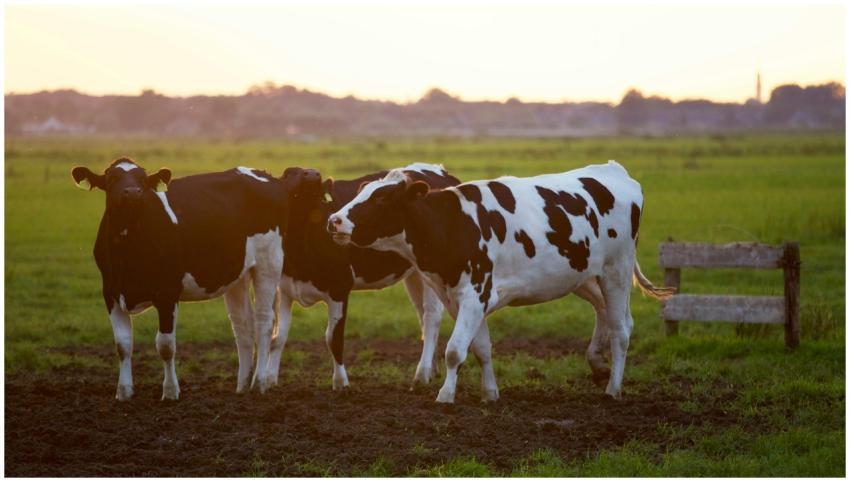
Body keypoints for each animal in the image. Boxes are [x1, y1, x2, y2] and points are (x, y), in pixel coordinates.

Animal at [71, 158, 288, 400]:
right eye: (112, 179)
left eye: (142, 180)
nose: (133, 193)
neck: (128, 252)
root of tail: (262, 174)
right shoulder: (110, 293)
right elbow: (122, 345)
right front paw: (124, 392)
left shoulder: (167, 293)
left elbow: (165, 345)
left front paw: (170, 392)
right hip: (237, 275)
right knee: (242, 325)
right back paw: (241, 386)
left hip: (268, 263)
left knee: (264, 322)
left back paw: (259, 383)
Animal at [265, 163, 461, 389]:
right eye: (288, 173)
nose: (313, 173)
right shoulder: (284, 288)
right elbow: (278, 336)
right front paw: (269, 380)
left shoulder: (339, 287)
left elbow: (334, 338)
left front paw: (341, 383)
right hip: (415, 274)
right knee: (422, 315)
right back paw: (432, 369)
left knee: (431, 317)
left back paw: (422, 374)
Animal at [327, 160, 673, 403]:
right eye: (361, 192)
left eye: (382, 198)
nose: (334, 220)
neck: (453, 224)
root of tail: (614, 170)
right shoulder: (462, 299)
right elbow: (480, 348)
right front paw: (490, 393)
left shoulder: (474, 294)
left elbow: (454, 350)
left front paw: (445, 395)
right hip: (583, 275)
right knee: (606, 313)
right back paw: (597, 364)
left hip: (617, 270)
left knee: (621, 330)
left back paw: (613, 388)